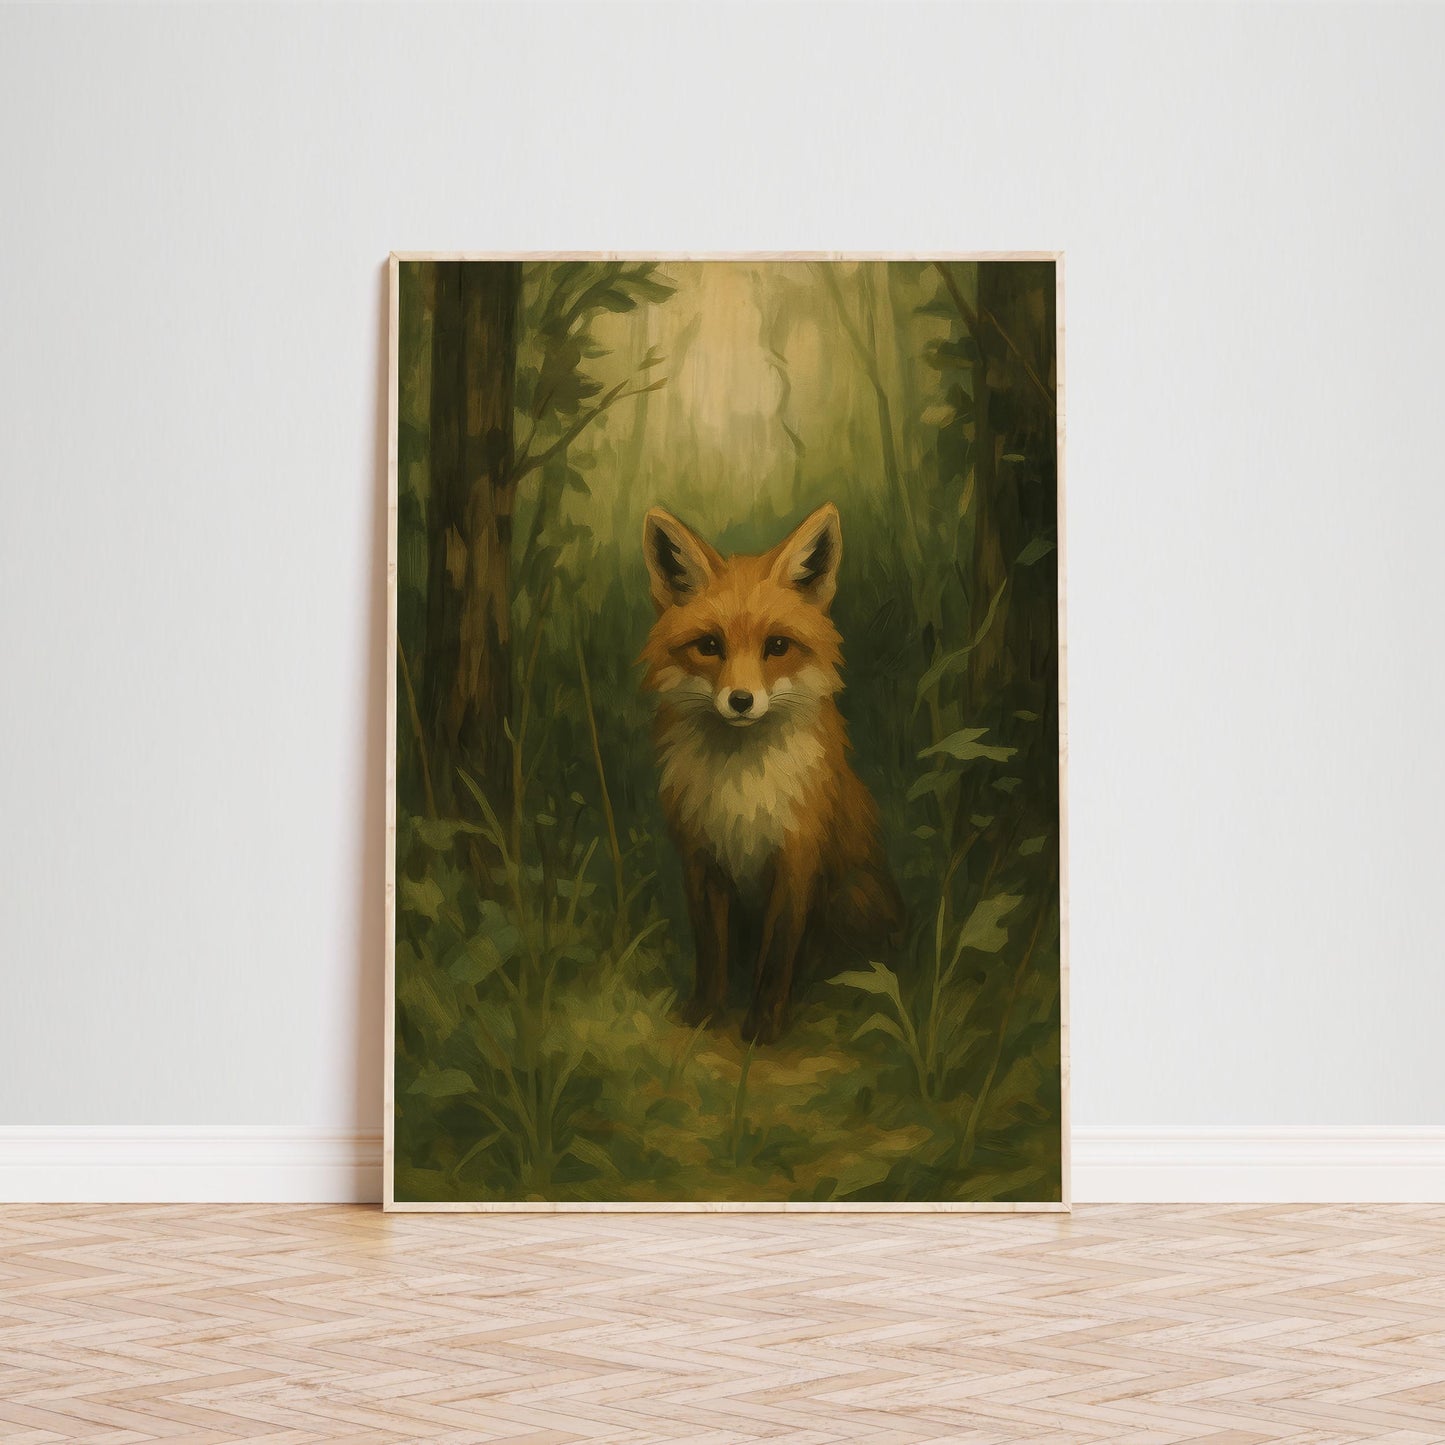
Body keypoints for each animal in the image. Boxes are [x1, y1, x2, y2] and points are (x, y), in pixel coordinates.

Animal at [640, 502, 904, 1044]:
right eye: (709, 646)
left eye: (777, 646)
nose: (741, 701)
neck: (741, 783)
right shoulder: (702, 856)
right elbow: (711, 951)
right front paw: (704, 1013)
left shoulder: (797, 857)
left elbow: (777, 956)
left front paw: (763, 1024)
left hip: (853, 896)